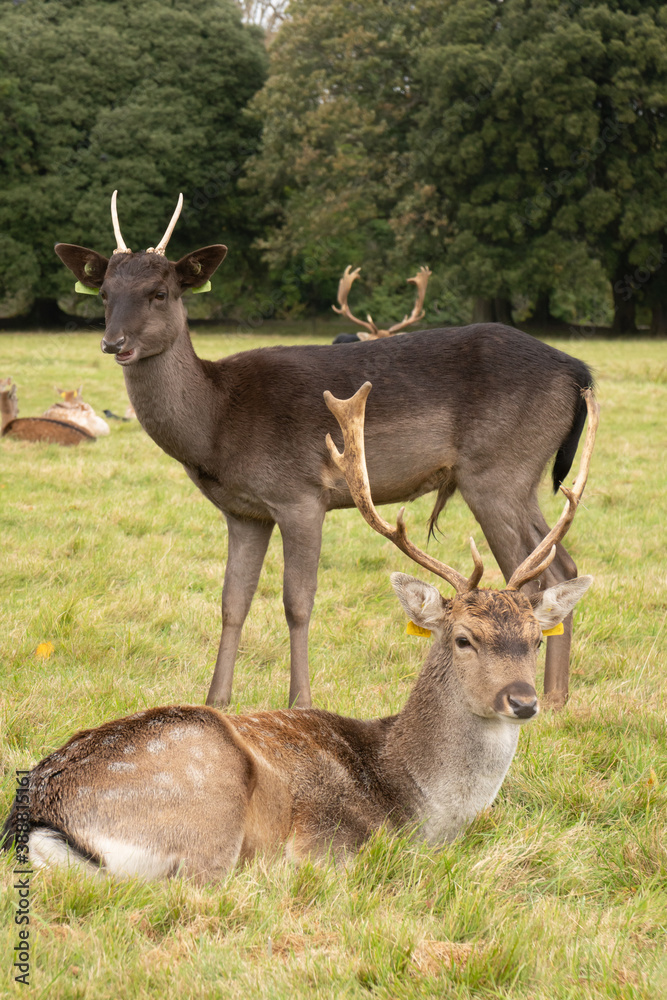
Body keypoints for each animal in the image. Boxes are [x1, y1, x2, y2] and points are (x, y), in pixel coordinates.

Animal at [0, 382, 596, 884]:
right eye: (463, 638)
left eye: (536, 639)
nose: (523, 700)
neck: (419, 806)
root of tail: (38, 812)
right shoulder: (329, 841)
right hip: (208, 802)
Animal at [53, 191, 596, 712]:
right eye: (104, 294)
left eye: (160, 293)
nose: (114, 342)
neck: (216, 424)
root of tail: (578, 371)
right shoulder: (244, 512)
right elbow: (232, 601)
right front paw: (216, 700)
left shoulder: (299, 494)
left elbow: (297, 601)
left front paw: (301, 700)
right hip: (520, 478)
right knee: (564, 567)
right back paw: (558, 697)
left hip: (496, 472)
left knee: (535, 577)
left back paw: (541, 695)